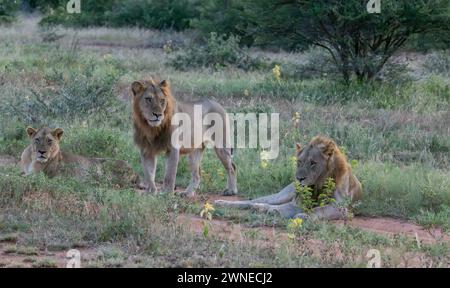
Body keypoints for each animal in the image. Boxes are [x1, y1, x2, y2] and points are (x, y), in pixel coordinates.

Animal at [214, 136, 362, 220]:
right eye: (299, 162)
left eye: (313, 163)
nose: (299, 178)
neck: (319, 183)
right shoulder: (298, 202)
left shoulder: (341, 207)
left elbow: (319, 209)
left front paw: (304, 216)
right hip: (281, 195)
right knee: (252, 202)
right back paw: (221, 203)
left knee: (262, 204)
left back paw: (261, 208)